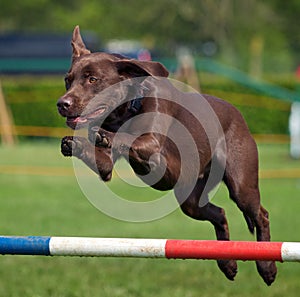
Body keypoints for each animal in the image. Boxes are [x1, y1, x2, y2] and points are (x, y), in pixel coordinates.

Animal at [57, 26, 278, 284]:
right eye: (67, 80)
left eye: (93, 79)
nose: (62, 104)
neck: (128, 107)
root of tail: (238, 113)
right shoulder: (106, 166)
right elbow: (103, 160)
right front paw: (73, 143)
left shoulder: (154, 148)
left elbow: (130, 138)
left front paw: (104, 135)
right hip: (190, 198)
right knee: (220, 213)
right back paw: (228, 264)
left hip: (241, 184)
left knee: (261, 214)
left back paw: (267, 267)